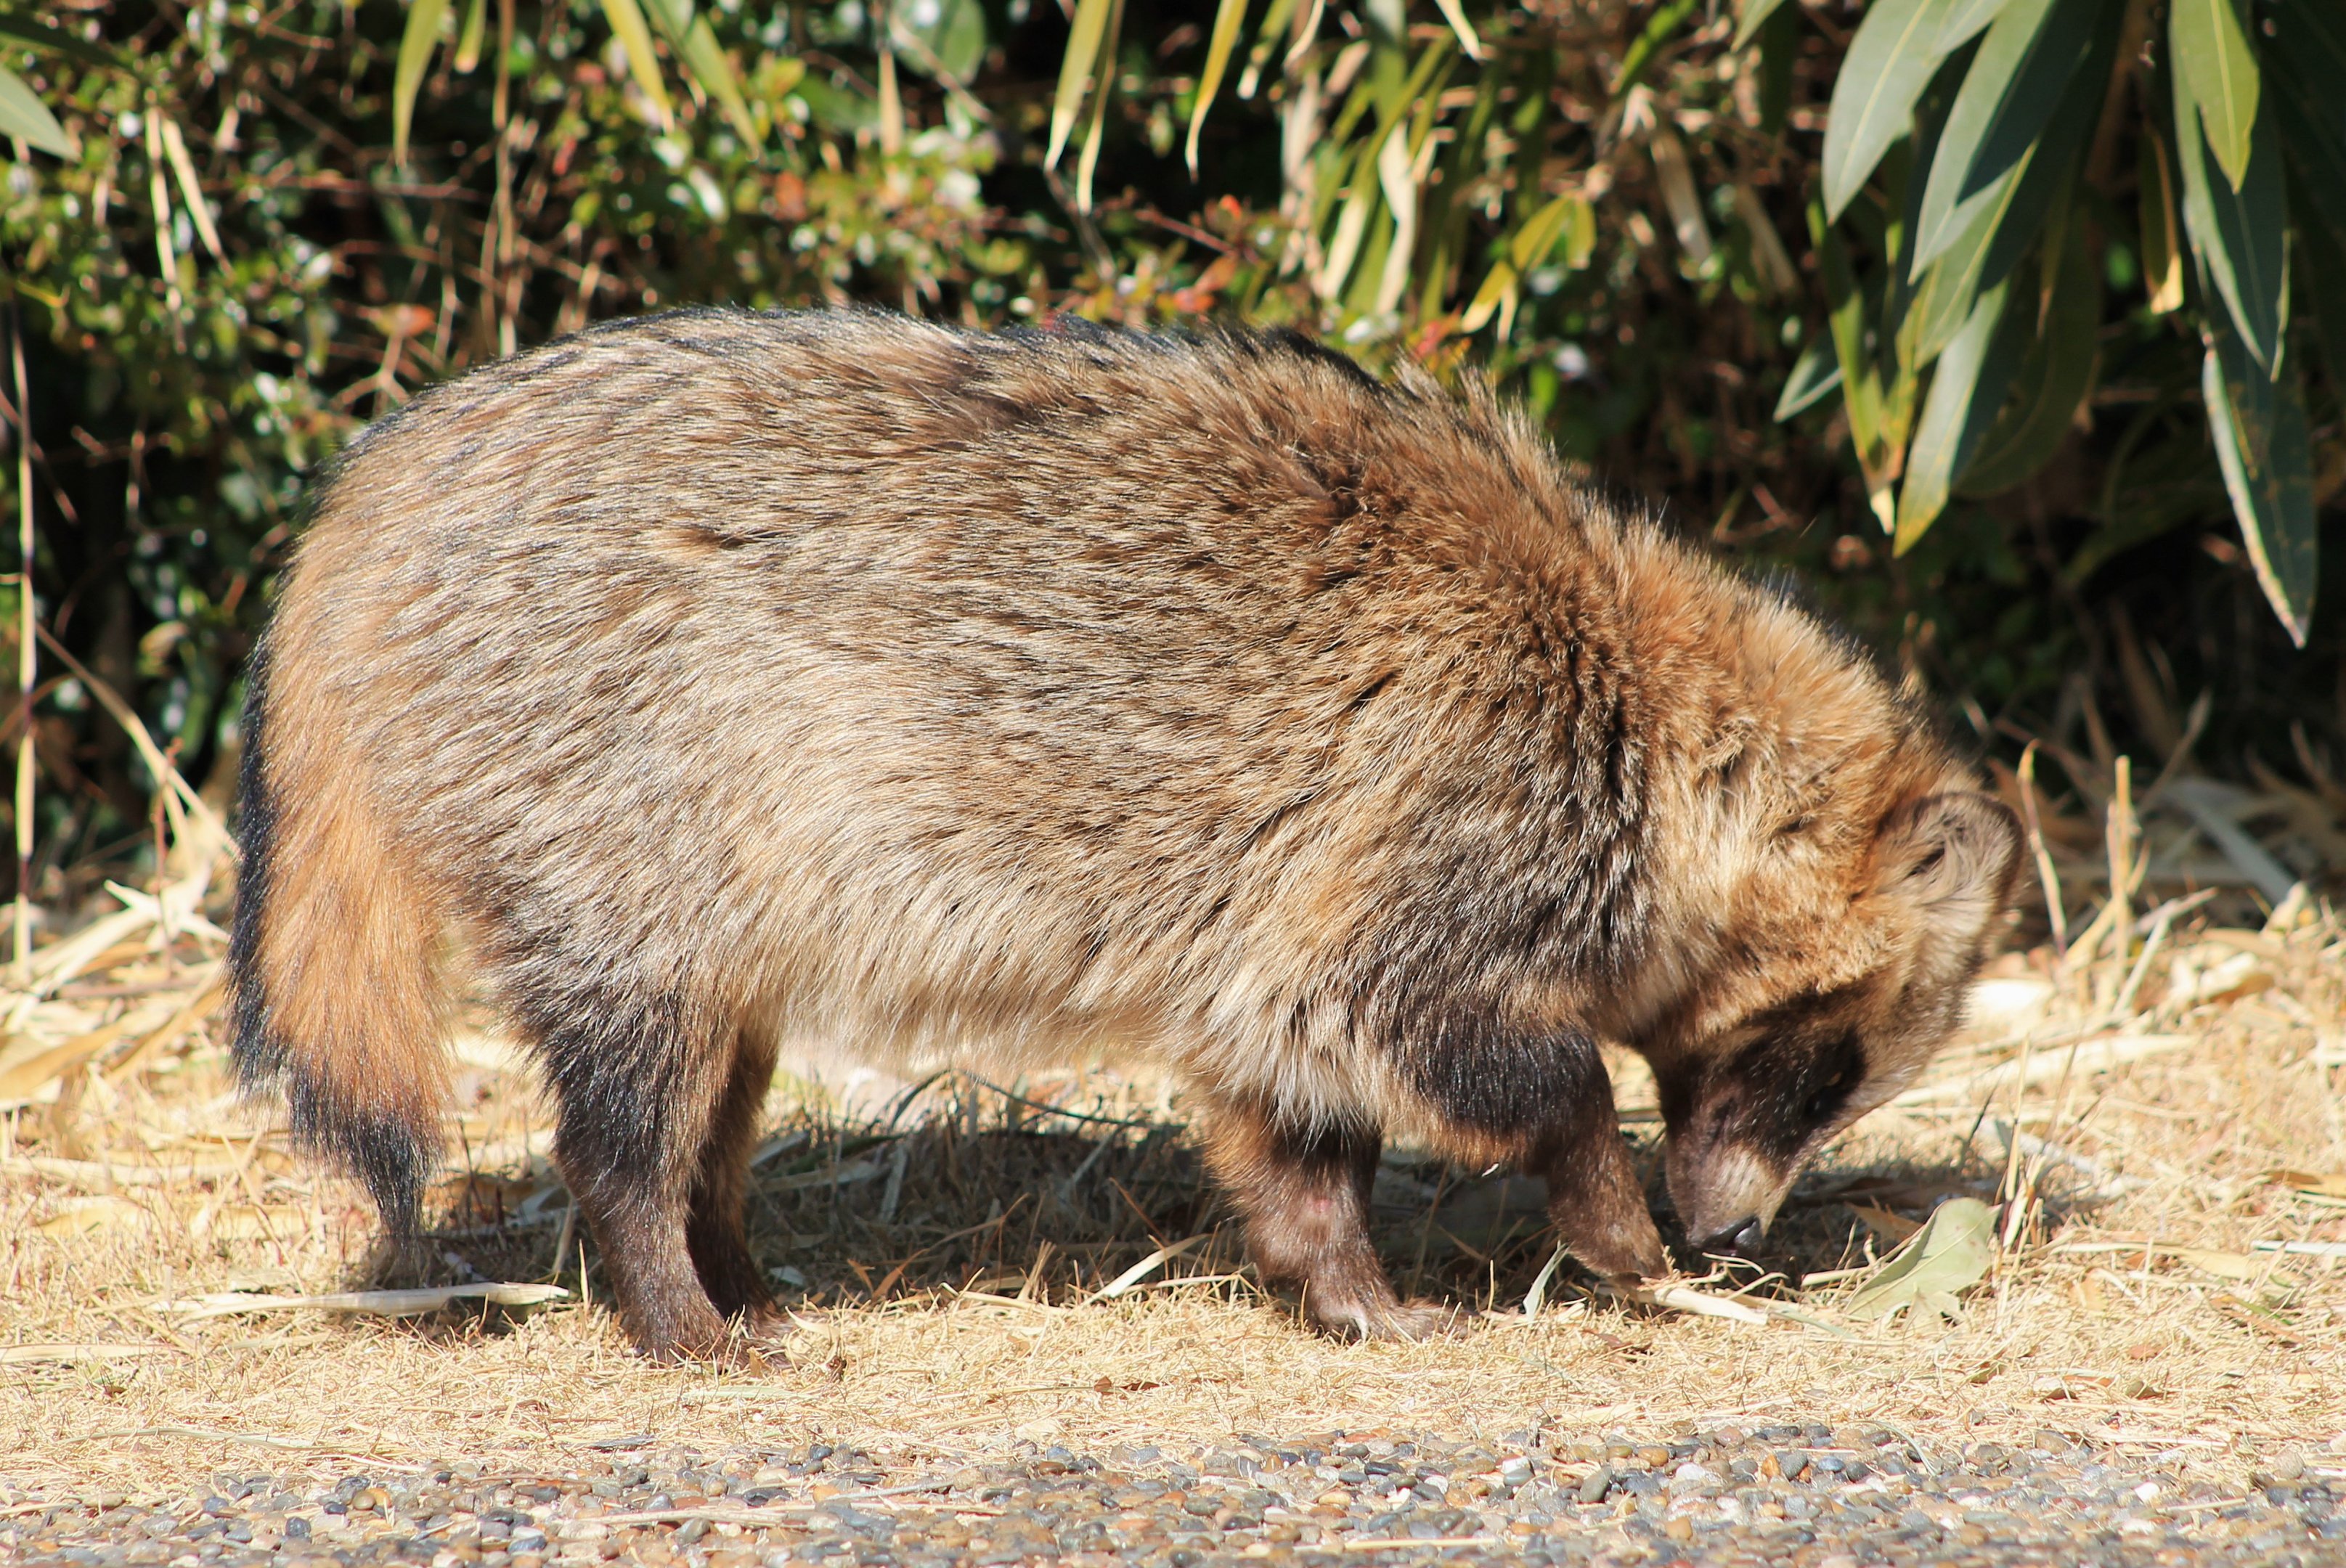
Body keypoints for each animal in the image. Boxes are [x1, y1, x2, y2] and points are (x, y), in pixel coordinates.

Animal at [228, 309, 2022, 1360]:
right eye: (1829, 1065)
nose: (1731, 1234)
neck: (1634, 687)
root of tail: (385, 483)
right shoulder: (1438, 837)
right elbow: (1510, 1066)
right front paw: (1611, 1221)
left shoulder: (1275, 930)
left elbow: (1289, 1121)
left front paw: (1344, 1282)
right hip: (625, 831)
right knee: (623, 1120)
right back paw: (669, 1296)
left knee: (716, 1101)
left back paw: (725, 1258)